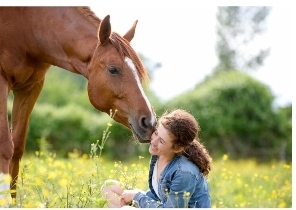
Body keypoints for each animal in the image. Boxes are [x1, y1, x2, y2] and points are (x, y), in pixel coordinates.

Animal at [0, 6, 156, 203]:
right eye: (113, 69)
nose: (149, 122)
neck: (28, 25)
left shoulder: (31, 86)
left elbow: (17, 147)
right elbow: (5, 145)